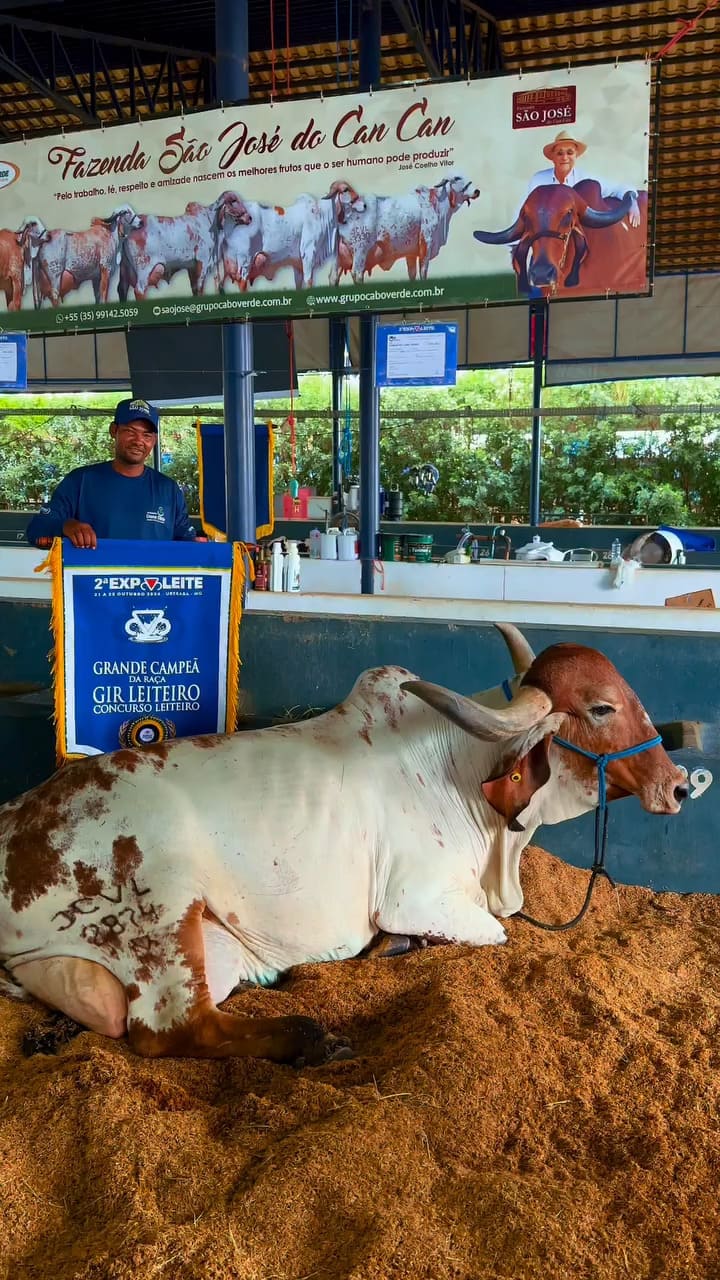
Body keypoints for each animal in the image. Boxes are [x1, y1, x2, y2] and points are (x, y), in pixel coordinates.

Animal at [0, 624, 681, 1064]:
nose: (676, 784)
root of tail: (17, 819)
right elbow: (495, 932)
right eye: (600, 707)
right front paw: (394, 946)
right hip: (161, 907)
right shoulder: (417, 898)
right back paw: (312, 1039)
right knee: (175, 1030)